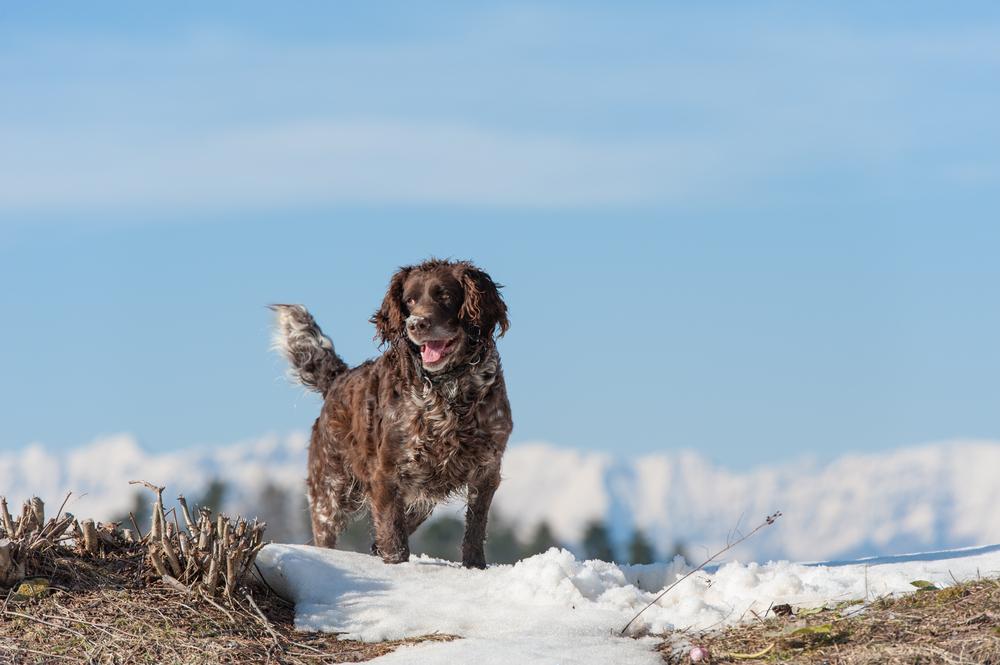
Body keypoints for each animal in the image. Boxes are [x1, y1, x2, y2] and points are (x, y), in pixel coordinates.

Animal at [270, 258, 512, 564]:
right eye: (410, 300)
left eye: (444, 295)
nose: (416, 323)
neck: (448, 391)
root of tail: (338, 378)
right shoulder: (387, 473)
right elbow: (394, 539)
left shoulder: (486, 469)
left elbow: (475, 530)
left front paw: (474, 567)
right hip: (331, 492)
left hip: (420, 497)